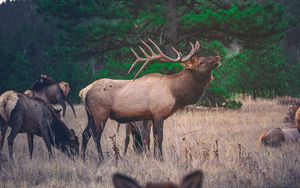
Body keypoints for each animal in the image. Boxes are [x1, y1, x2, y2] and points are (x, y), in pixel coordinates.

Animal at [79, 38, 220, 160]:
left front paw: (155, 157)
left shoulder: (151, 116)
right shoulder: (158, 113)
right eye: (201, 62)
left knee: (85, 133)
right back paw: (101, 158)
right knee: (96, 135)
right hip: (100, 113)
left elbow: (153, 138)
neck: (174, 92)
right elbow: (160, 138)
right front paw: (161, 158)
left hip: (90, 114)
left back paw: (83, 158)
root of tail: (84, 91)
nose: (218, 57)